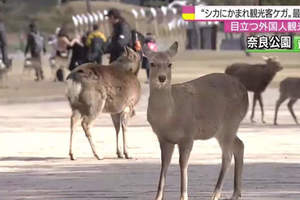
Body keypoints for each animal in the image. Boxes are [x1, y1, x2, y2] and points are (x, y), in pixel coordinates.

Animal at [147, 41, 248, 199]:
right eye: (152, 63)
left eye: (170, 64)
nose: (162, 78)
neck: (169, 117)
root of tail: (245, 92)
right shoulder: (163, 138)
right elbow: (164, 164)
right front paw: (157, 197)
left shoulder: (188, 135)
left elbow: (183, 164)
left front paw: (183, 196)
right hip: (224, 129)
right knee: (239, 145)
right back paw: (236, 193)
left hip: (231, 121)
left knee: (227, 155)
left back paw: (216, 194)